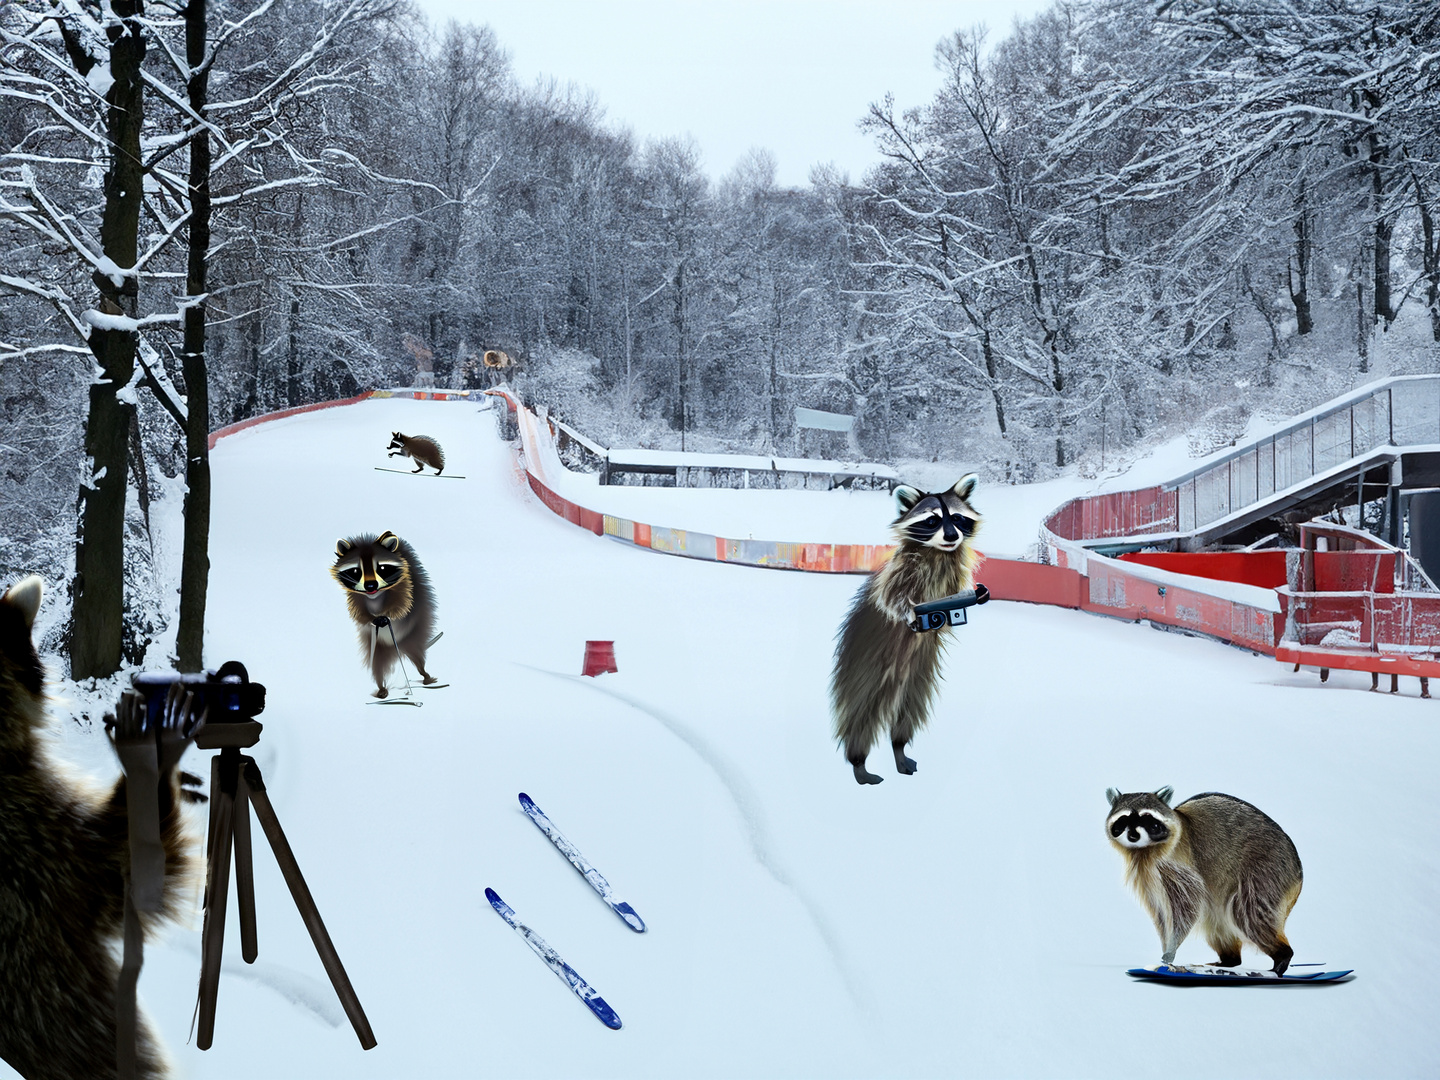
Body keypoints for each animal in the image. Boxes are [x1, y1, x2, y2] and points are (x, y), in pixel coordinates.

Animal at [329, 535, 437, 702]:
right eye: (356, 570)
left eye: (382, 568)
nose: (370, 585)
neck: (375, 596)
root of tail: (396, 646)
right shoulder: (355, 597)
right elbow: (359, 613)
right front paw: (372, 618)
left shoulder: (407, 581)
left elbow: (405, 604)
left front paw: (391, 613)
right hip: (377, 644)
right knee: (377, 664)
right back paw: (381, 686)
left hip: (412, 636)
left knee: (417, 654)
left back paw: (424, 673)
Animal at [829, 475, 984, 789]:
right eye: (932, 520)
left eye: (957, 518)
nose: (952, 537)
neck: (939, 552)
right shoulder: (903, 571)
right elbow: (891, 597)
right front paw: (910, 611)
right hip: (866, 661)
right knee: (860, 711)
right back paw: (858, 762)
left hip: (918, 673)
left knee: (908, 712)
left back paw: (899, 748)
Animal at [1100, 789, 1307, 973]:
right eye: (1124, 820)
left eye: (1149, 821)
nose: (1133, 836)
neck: (1145, 849)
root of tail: (1298, 871)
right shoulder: (1147, 873)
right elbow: (1160, 912)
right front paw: (1166, 944)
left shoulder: (1178, 861)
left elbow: (1186, 905)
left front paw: (1171, 948)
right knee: (1216, 920)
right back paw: (1230, 960)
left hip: (1267, 869)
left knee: (1248, 915)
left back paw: (1283, 955)